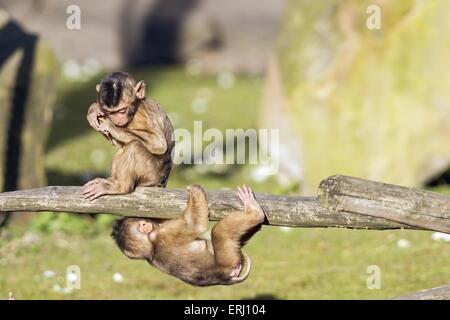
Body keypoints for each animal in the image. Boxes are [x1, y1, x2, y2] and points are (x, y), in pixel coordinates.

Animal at [111, 184, 266, 286]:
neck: (150, 247)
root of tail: (224, 276)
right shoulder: (166, 232)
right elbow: (194, 225)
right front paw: (195, 191)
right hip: (228, 259)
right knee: (219, 232)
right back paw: (254, 212)